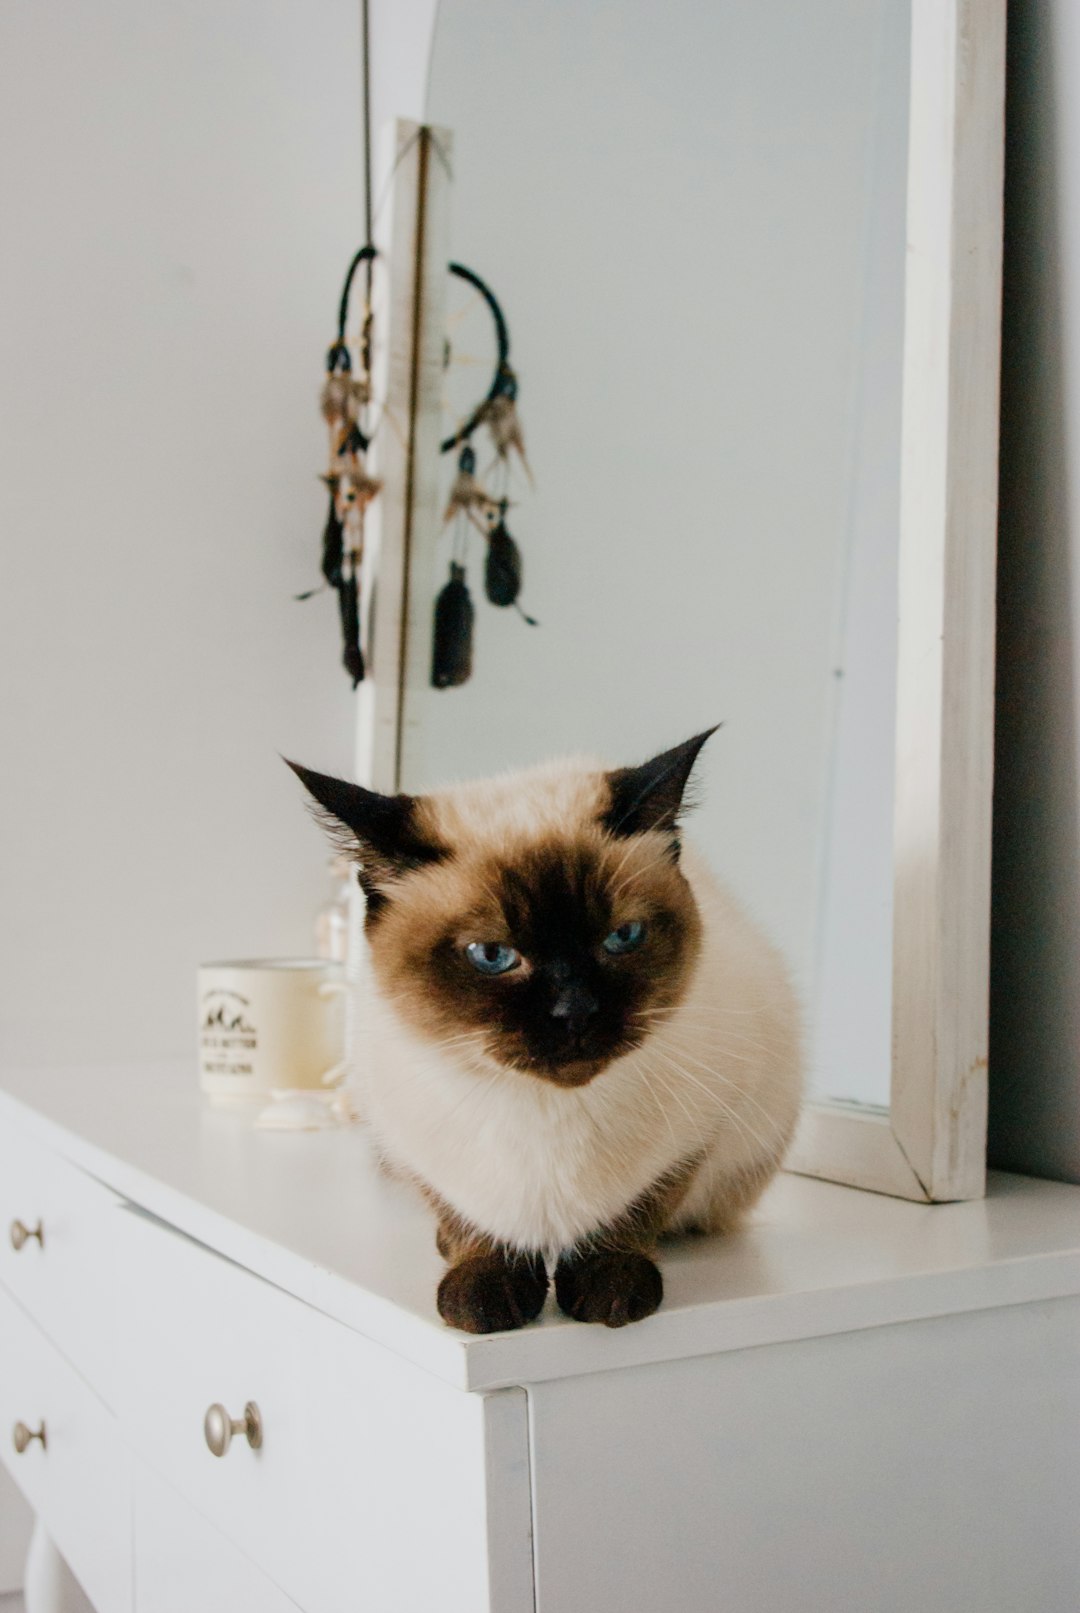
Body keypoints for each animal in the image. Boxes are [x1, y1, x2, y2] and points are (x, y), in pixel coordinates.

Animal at [290, 732, 802, 1335]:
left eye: (622, 937)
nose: (575, 1011)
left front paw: (609, 1288)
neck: (542, 1110)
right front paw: (484, 1294)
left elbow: (637, 1211)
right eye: (492, 956)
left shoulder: (703, 1128)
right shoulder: (410, 1143)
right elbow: (468, 1220)